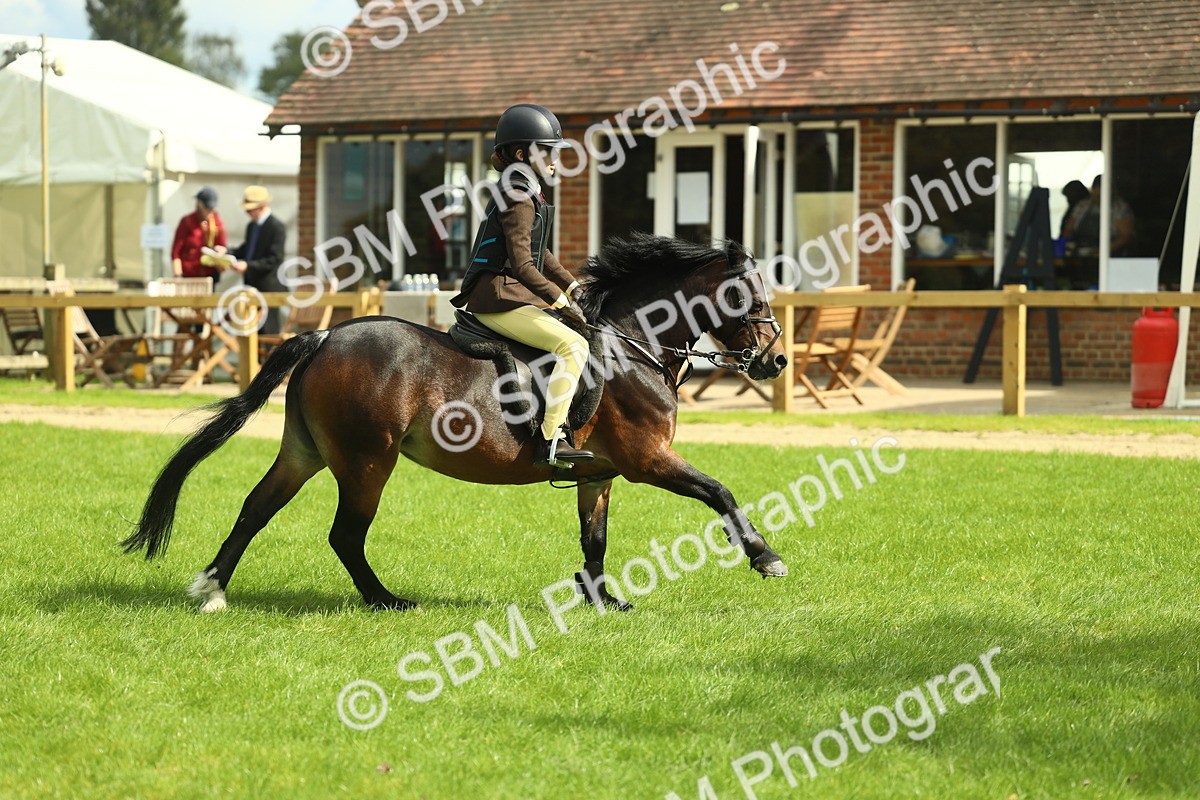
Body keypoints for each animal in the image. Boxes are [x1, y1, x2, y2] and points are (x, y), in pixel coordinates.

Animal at [121, 233, 791, 612]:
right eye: (748, 294)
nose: (775, 360)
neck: (633, 343)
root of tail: (325, 336)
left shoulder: (599, 473)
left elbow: (594, 540)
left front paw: (604, 603)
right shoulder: (647, 460)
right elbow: (720, 492)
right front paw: (765, 557)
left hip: (305, 452)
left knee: (256, 508)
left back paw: (212, 591)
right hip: (368, 461)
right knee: (345, 535)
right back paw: (387, 602)